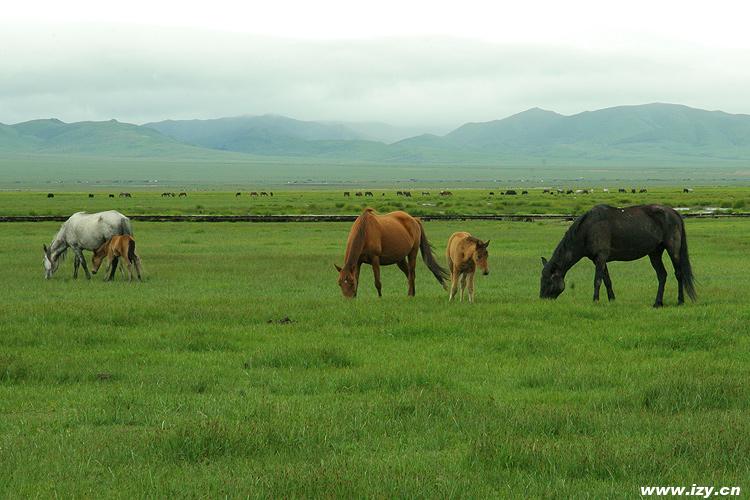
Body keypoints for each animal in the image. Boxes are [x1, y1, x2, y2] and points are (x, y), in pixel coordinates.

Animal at [540, 202, 700, 304]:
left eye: (547, 280)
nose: (542, 299)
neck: (588, 229)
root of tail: (674, 212)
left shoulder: (600, 258)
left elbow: (597, 280)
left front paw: (595, 300)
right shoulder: (600, 260)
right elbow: (607, 280)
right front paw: (611, 299)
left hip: (673, 250)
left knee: (679, 274)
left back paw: (680, 301)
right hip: (655, 253)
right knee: (662, 275)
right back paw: (657, 303)